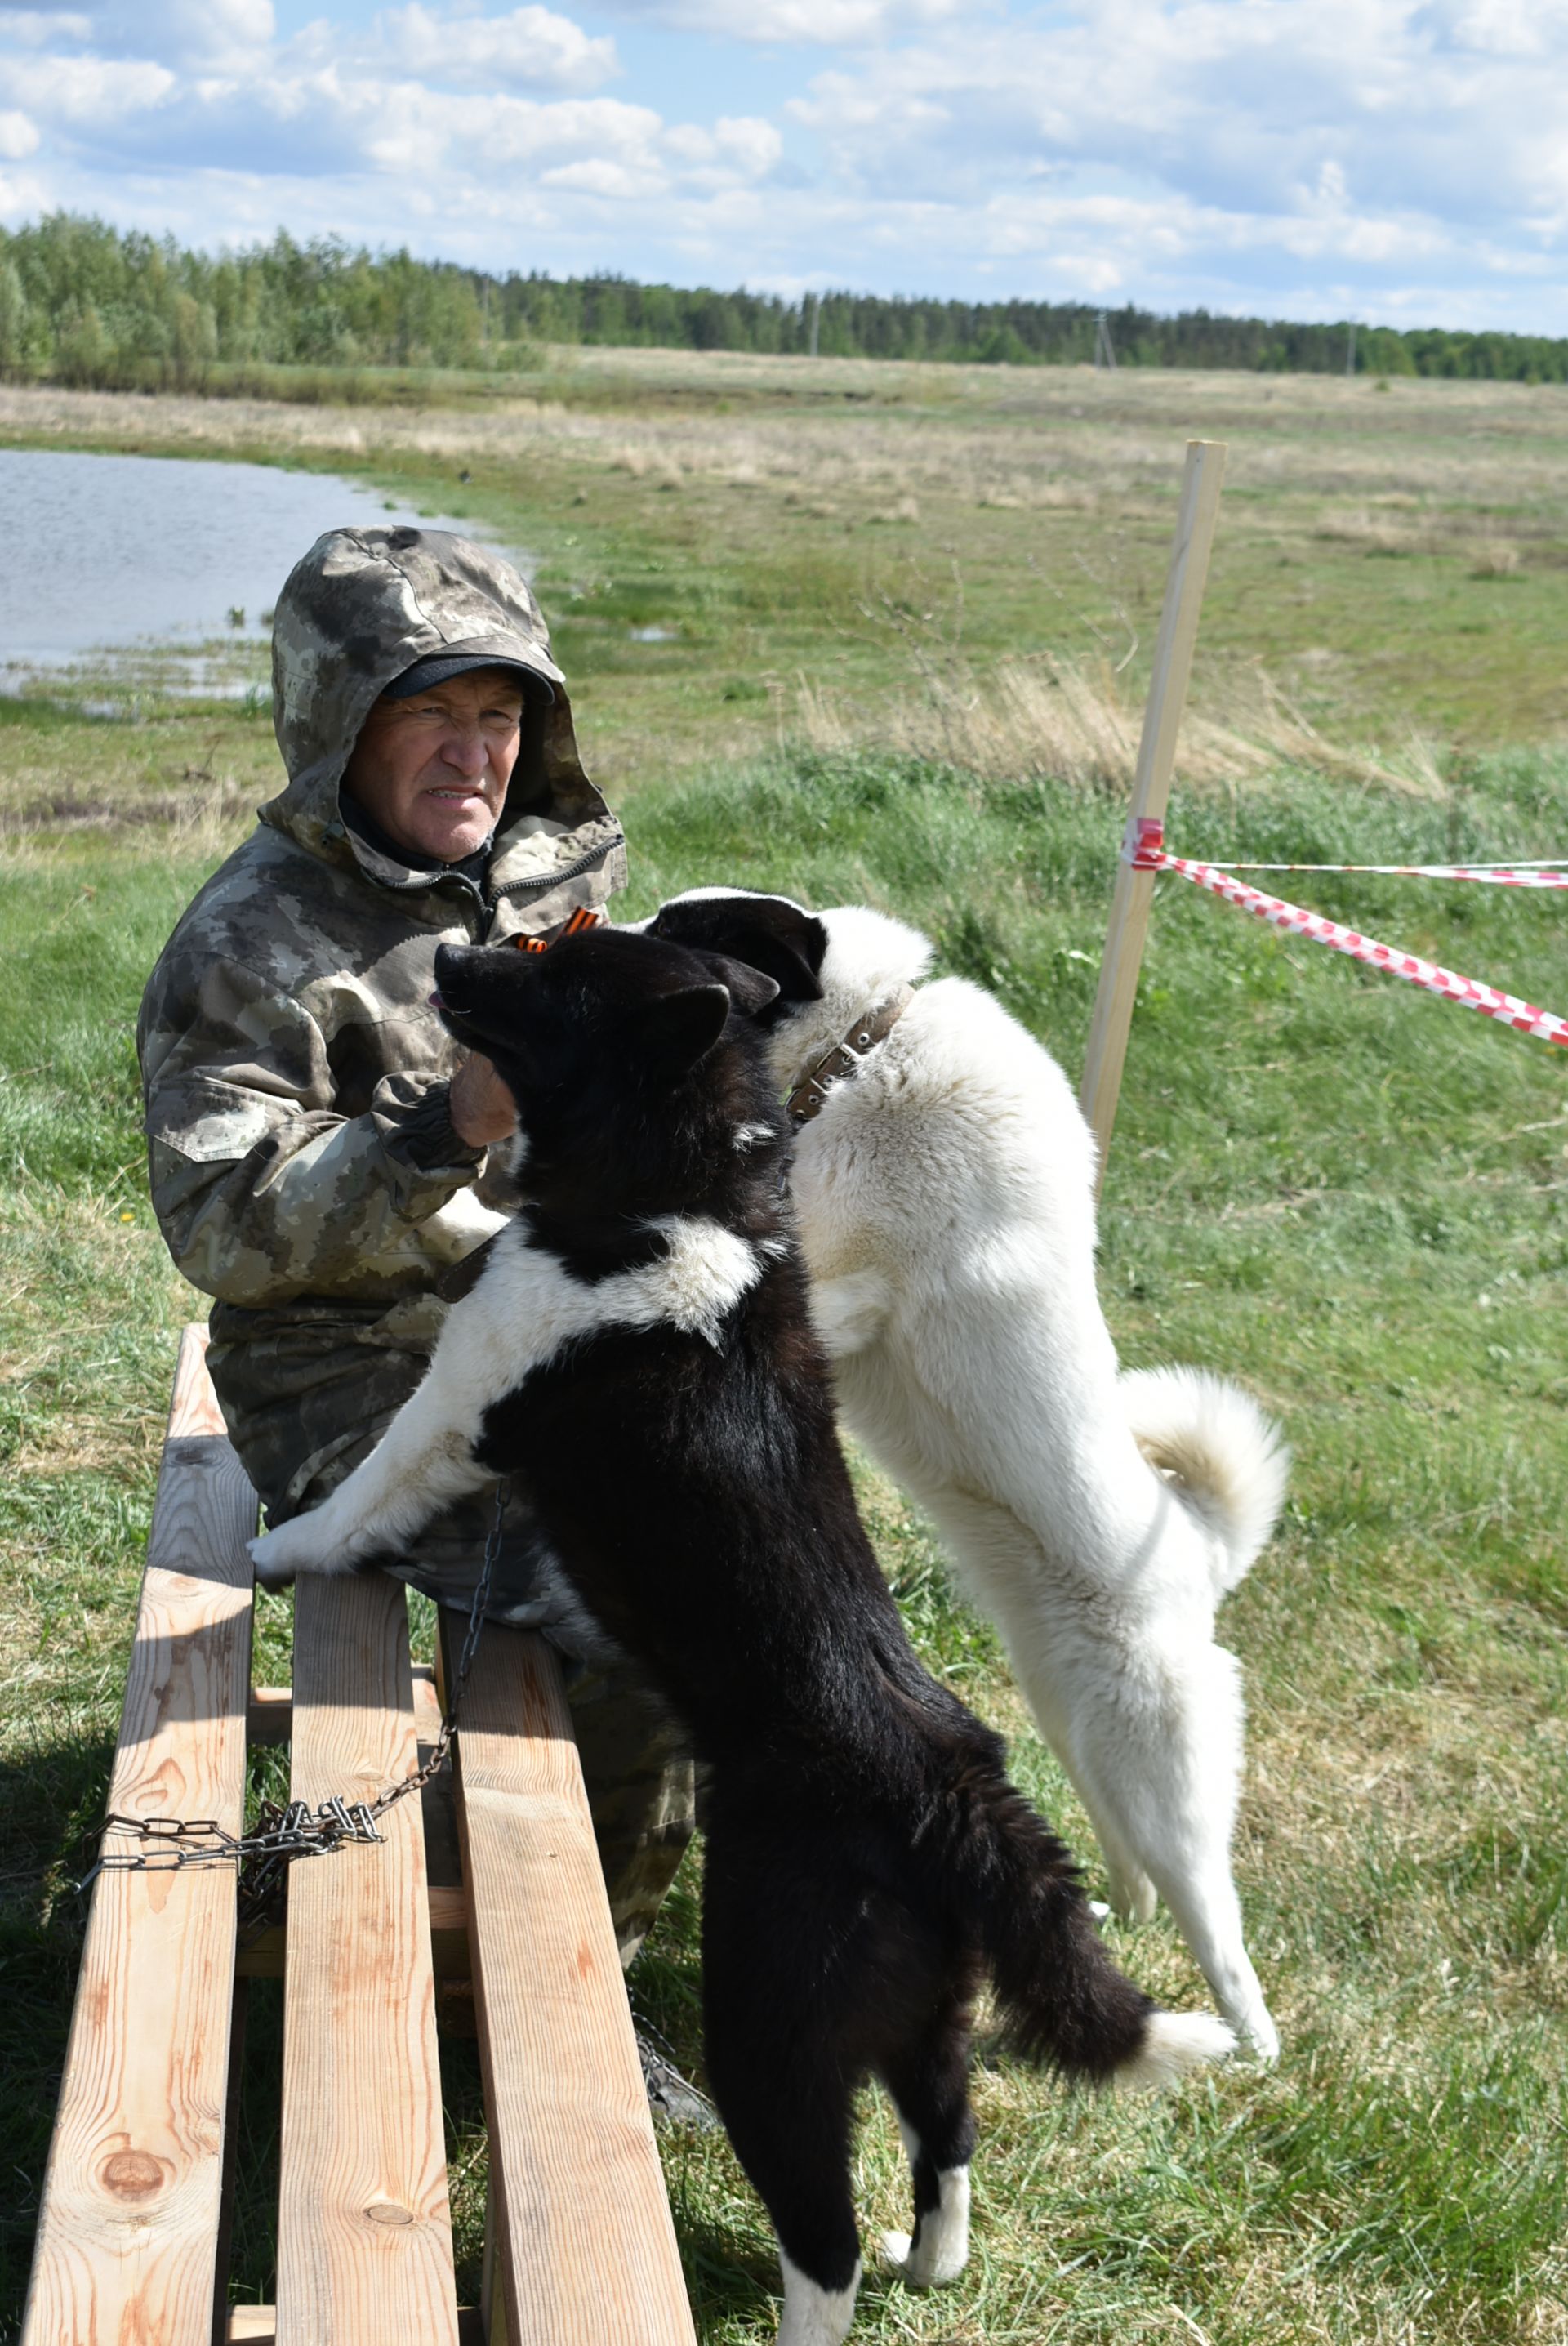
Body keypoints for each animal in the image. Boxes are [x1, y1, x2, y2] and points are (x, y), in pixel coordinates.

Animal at [256, 924, 1227, 2336]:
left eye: (550, 962)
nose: (449, 946)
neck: (676, 1197)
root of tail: (954, 1794)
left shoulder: (460, 1402)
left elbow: (363, 1494)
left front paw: (278, 1552)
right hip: (926, 2011)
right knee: (947, 2136)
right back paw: (928, 2260)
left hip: (773, 2026)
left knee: (822, 2238)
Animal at [647, 886, 1284, 2064]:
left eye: (686, 932)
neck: (861, 1052)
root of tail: (1198, 1550)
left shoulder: (842, 1282)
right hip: (1076, 1723)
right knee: (1132, 1864)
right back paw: (1111, 1922)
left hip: (1163, 1774)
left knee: (1214, 1916)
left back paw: (1250, 2045)